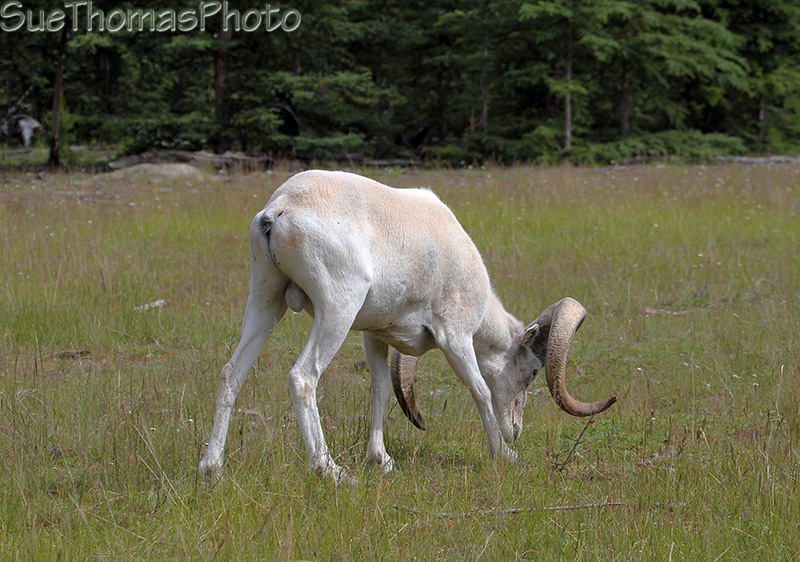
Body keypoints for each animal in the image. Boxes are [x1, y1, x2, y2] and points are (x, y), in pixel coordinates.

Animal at [198, 170, 616, 483]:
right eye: (531, 372)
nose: (516, 430)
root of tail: (279, 210)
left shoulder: (373, 335)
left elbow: (381, 390)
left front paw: (380, 460)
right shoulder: (455, 336)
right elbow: (479, 390)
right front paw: (504, 454)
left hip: (265, 300)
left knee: (232, 372)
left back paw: (211, 467)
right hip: (337, 310)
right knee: (303, 376)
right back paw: (331, 470)